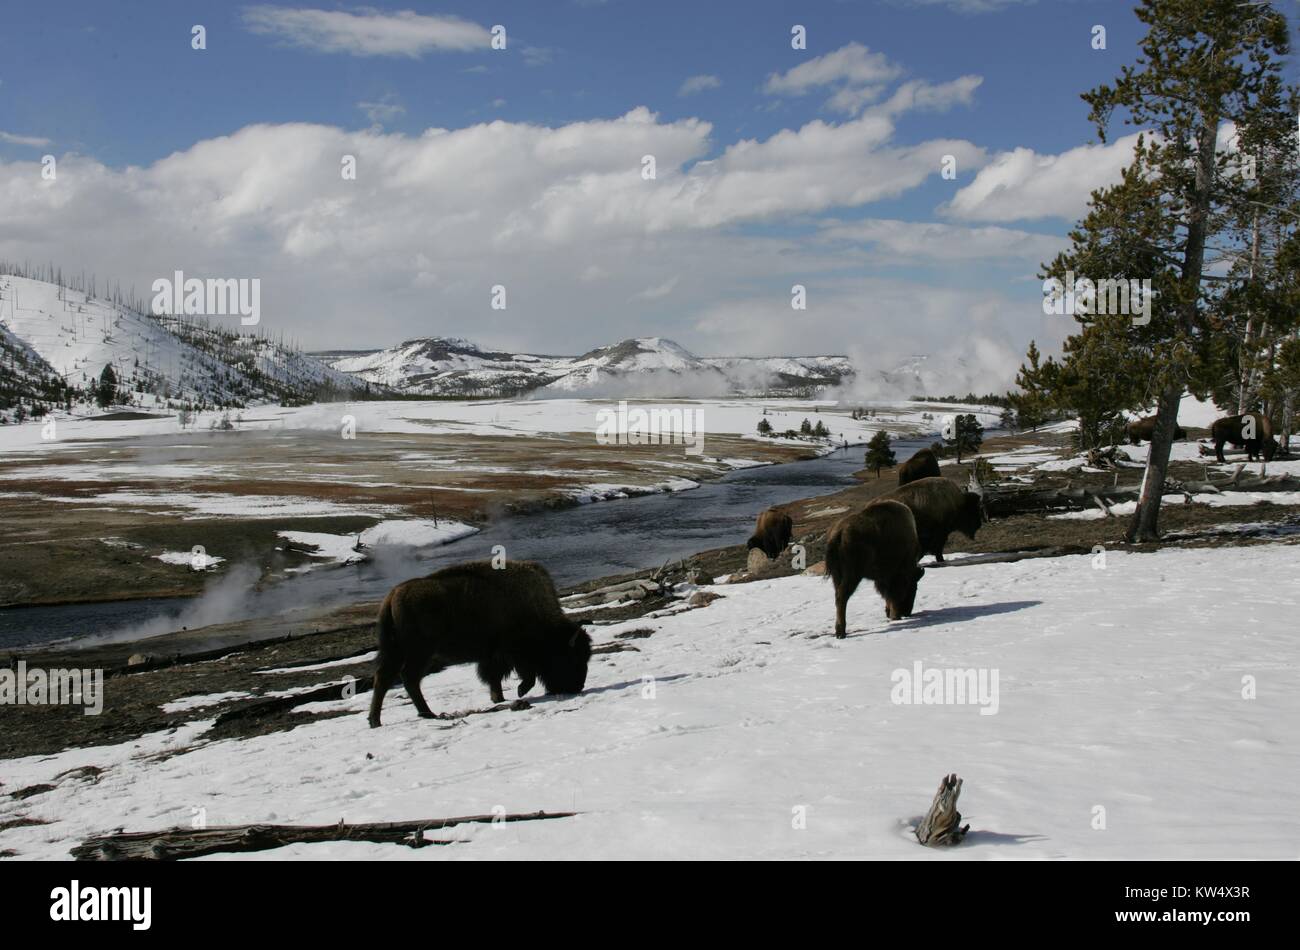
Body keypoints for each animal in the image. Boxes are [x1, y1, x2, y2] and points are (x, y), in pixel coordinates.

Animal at [366, 561, 590, 732]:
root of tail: (393, 595)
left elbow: (495, 677)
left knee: (384, 678)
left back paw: (376, 721)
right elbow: (524, 675)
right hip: (419, 652)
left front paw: (498, 698)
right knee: (408, 678)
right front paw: (518, 692)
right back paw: (426, 713)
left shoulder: (494, 656)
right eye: (571, 657)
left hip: (397, 651)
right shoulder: (511, 652)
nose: (577, 686)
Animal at [821, 499, 925, 639]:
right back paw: (841, 632)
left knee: (838, 596)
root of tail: (839, 533)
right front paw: (895, 616)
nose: (907, 612)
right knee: (842, 597)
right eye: (914, 587)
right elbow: (893, 595)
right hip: (852, 576)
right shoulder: (896, 575)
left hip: (837, 576)